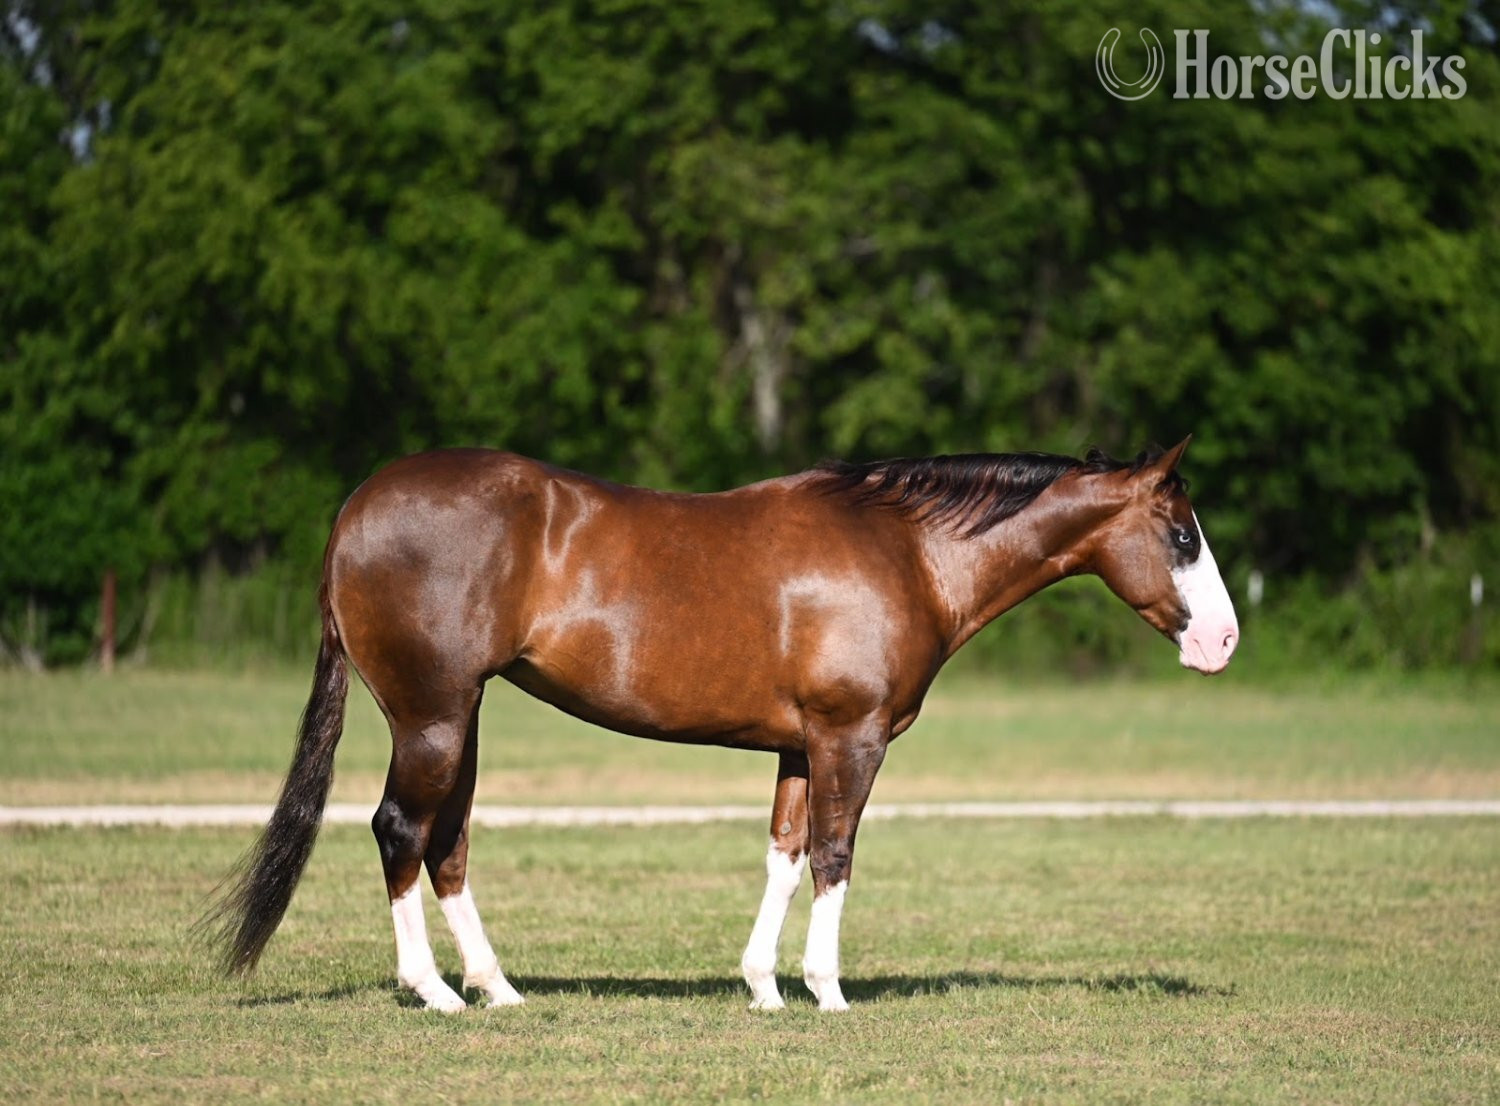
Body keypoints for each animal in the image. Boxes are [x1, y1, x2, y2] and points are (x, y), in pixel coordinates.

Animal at [205, 435, 1238, 1012]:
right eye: (1182, 534)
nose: (1223, 640)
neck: (906, 549)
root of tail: (358, 508)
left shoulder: (799, 746)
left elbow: (783, 854)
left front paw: (764, 987)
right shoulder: (850, 739)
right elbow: (834, 856)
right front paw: (827, 992)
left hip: (462, 720)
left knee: (447, 841)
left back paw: (496, 989)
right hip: (432, 717)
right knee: (400, 830)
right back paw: (433, 993)